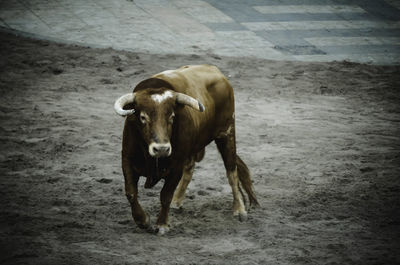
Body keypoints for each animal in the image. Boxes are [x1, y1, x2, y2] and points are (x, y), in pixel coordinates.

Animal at [114, 65, 260, 234]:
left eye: (172, 117)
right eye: (143, 117)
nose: (161, 149)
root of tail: (216, 71)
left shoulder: (176, 166)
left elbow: (165, 195)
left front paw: (162, 225)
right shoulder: (127, 159)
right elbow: (131, 193)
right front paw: (142, 220)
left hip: (227, 133)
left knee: (232, 173)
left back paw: (239, 209)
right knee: (190, 169)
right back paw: (177, 201)